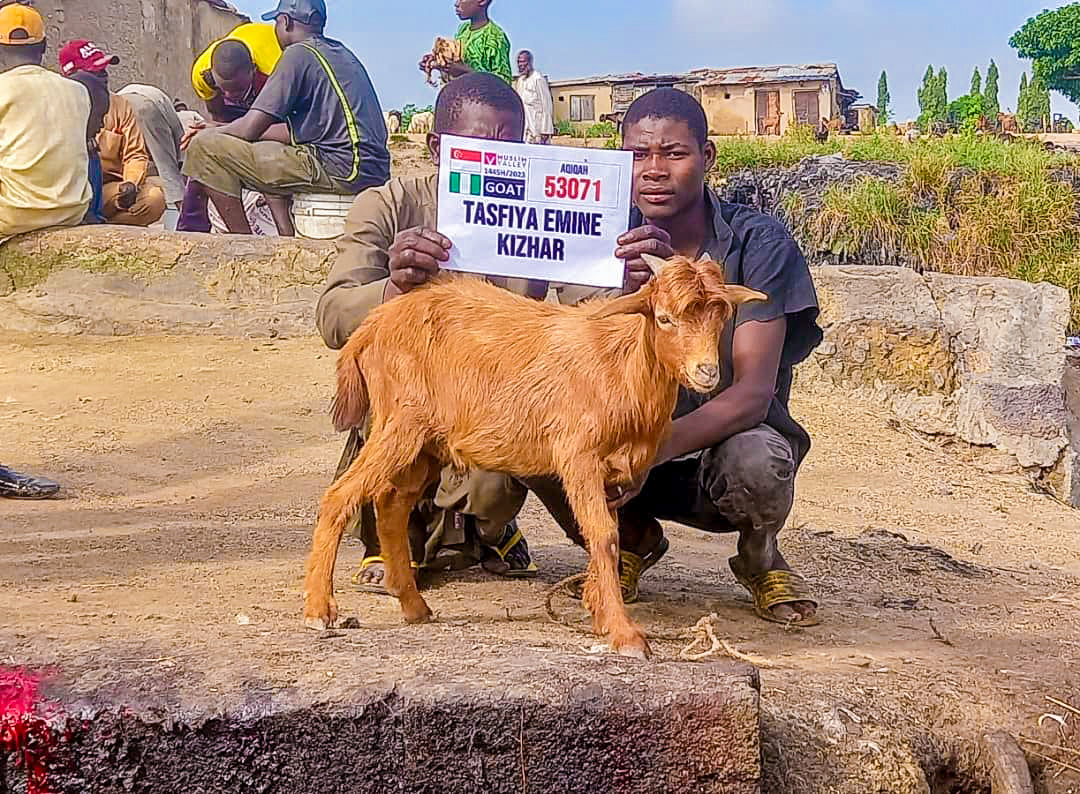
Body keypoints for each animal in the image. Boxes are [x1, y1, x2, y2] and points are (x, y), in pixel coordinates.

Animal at [302, 254, 766, 659]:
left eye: (721, 319)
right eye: (665, 318)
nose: (707, 372)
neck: (621, 365)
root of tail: (374, 324)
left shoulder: (612, 474)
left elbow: (606, 533)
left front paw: (598, 610)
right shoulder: (579, 455)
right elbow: (604, 535)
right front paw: (624, 632)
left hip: (427, 441)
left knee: (391, 503)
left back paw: (414, 606)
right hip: (399, 422)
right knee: (340, 496)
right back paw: (320, 611)